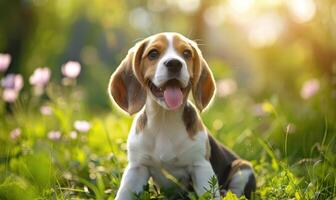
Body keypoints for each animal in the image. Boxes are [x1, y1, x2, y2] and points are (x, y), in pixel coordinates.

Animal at [109, 32, 256, 199]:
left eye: (186, 53)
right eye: (153, 54)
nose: (174, 63)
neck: (164, 119)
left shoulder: (201, 167)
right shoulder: (137, 168)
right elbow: (124, 193)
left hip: (243, 168)